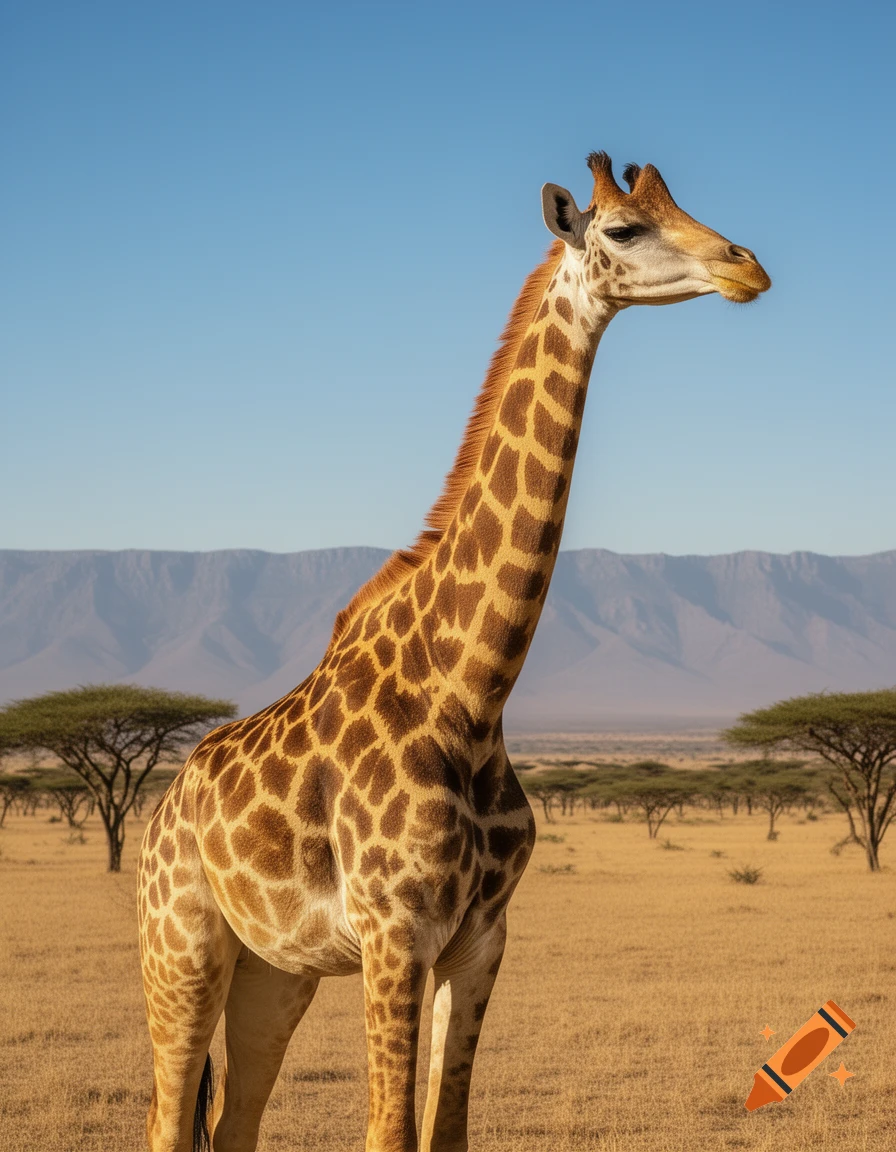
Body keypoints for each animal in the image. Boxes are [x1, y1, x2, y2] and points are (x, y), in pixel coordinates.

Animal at [138, 150, 770, 1152]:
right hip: (182, 951)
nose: (747, 267)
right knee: (167, 1119)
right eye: (624, 228)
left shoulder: (481, 940)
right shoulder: (395, 937)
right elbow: (390, 1132)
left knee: (234, 1121)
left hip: (275, 970)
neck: (471, 691)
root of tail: (161, 815)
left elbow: (450, 1129)